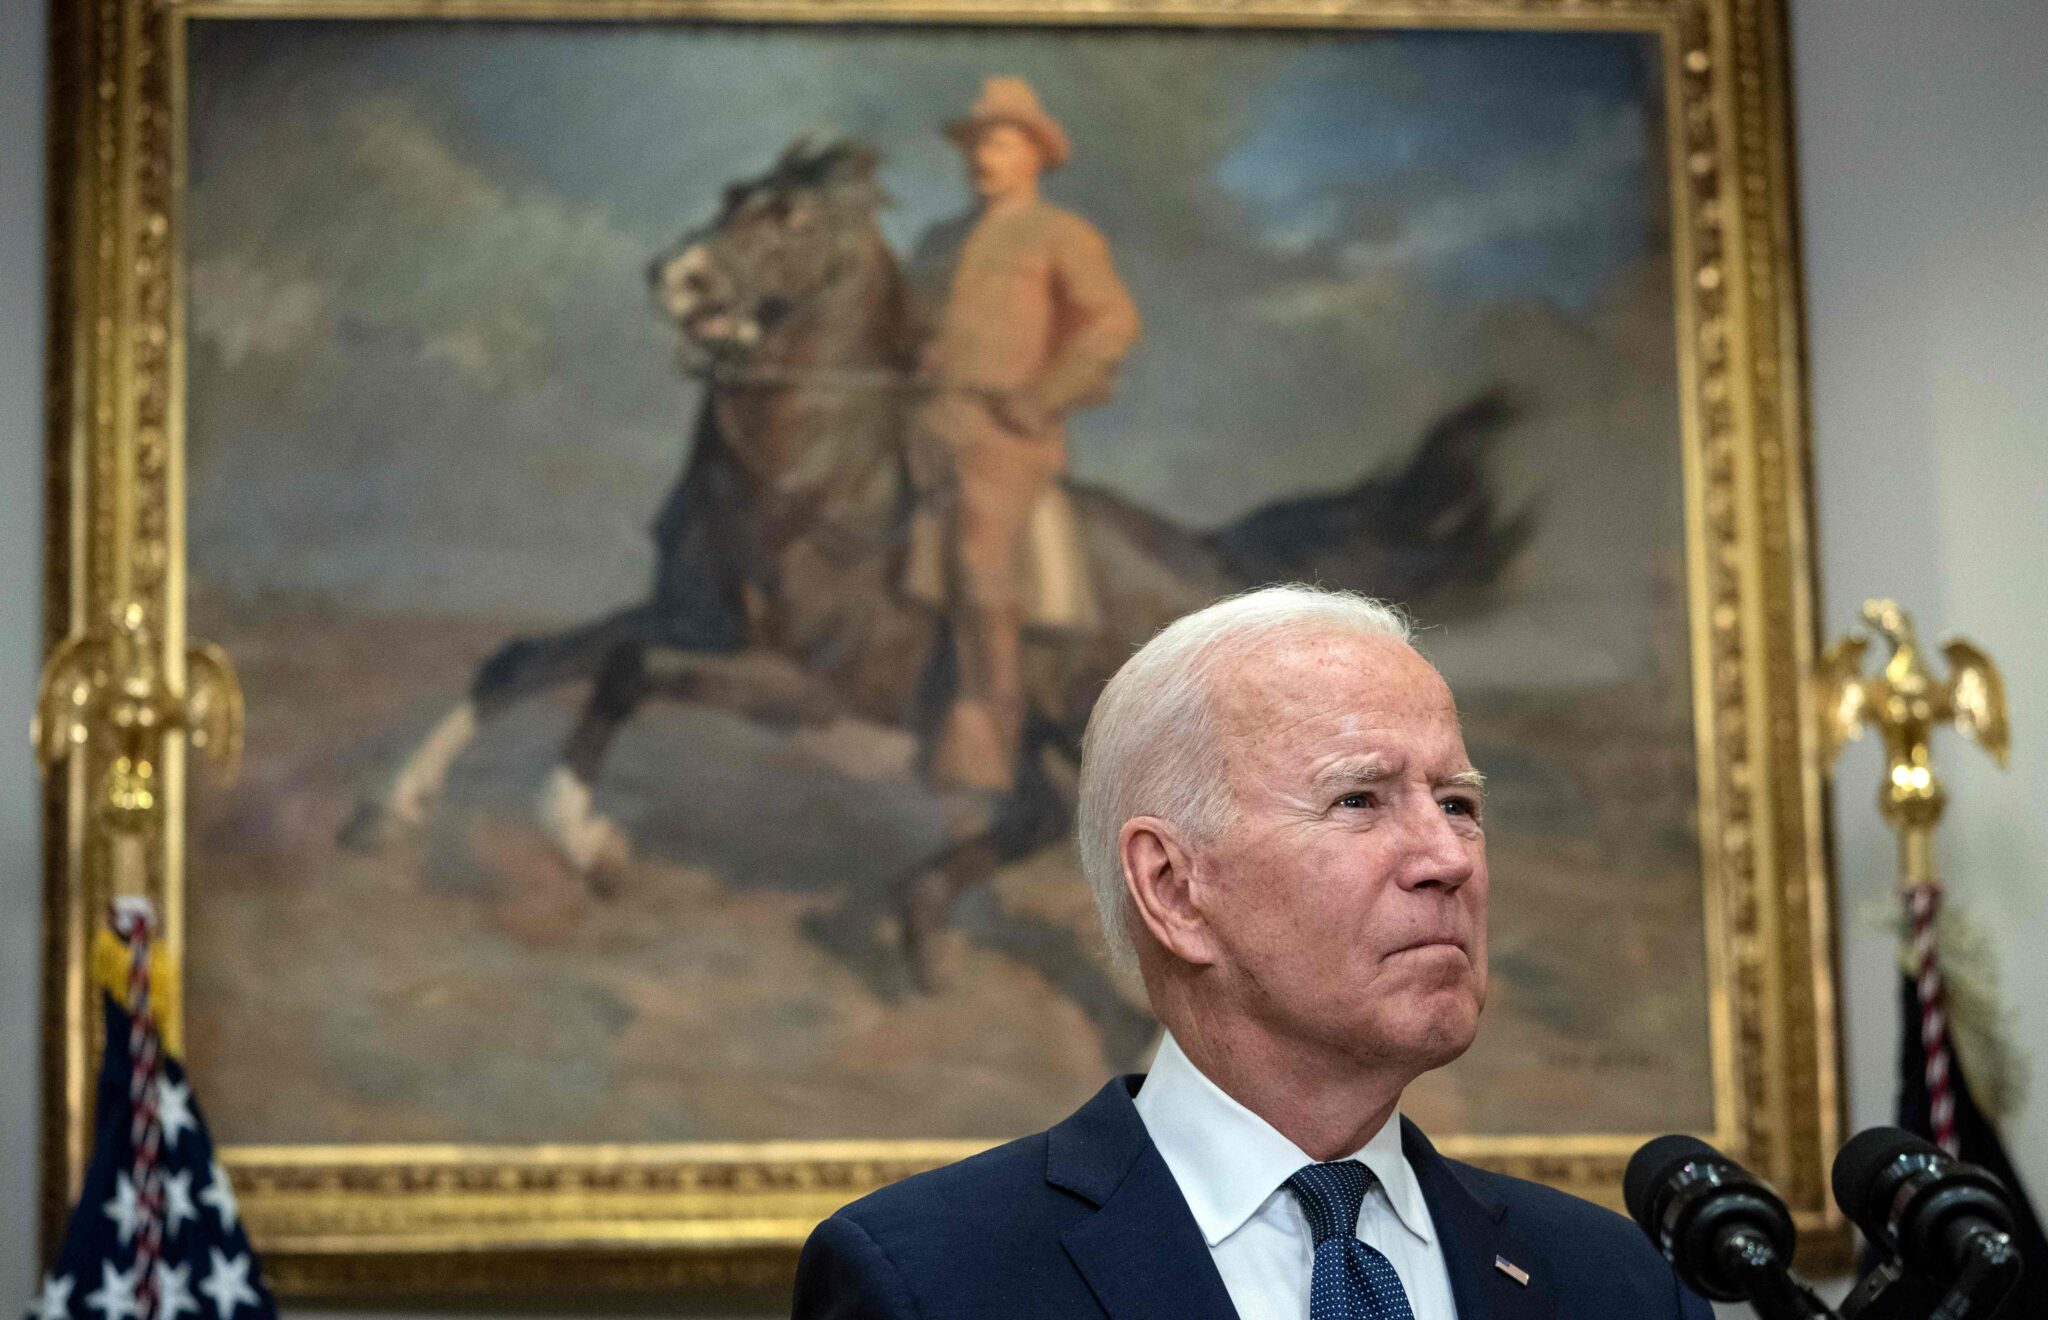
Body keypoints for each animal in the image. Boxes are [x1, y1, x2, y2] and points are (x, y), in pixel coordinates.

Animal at [344, 141, 1531, 990]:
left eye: (790, 217)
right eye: (732, 193)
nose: (672, 276)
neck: (817, 483)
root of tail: (1211, 557)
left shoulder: (798, 690)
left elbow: (625, 673)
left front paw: (583, 840)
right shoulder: (689, 616)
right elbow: (531, 658)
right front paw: (392, 811)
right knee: (1031, 813)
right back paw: (908, 922)